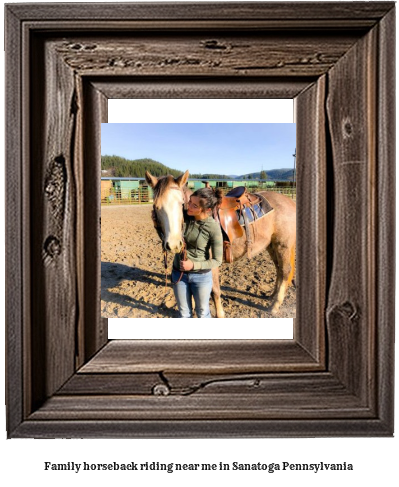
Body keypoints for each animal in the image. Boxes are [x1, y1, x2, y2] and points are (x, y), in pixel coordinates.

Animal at [145, 170, 296, 318]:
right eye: (156, 207)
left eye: (182, 204)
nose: (174, 244)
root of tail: (290, 202)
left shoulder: (212, 262)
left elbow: (215, 291)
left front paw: (220, 314)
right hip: (272, 246)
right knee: (279, 269)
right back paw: (272, 296)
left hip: (283, 245)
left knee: (285, 270)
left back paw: (275, 305)